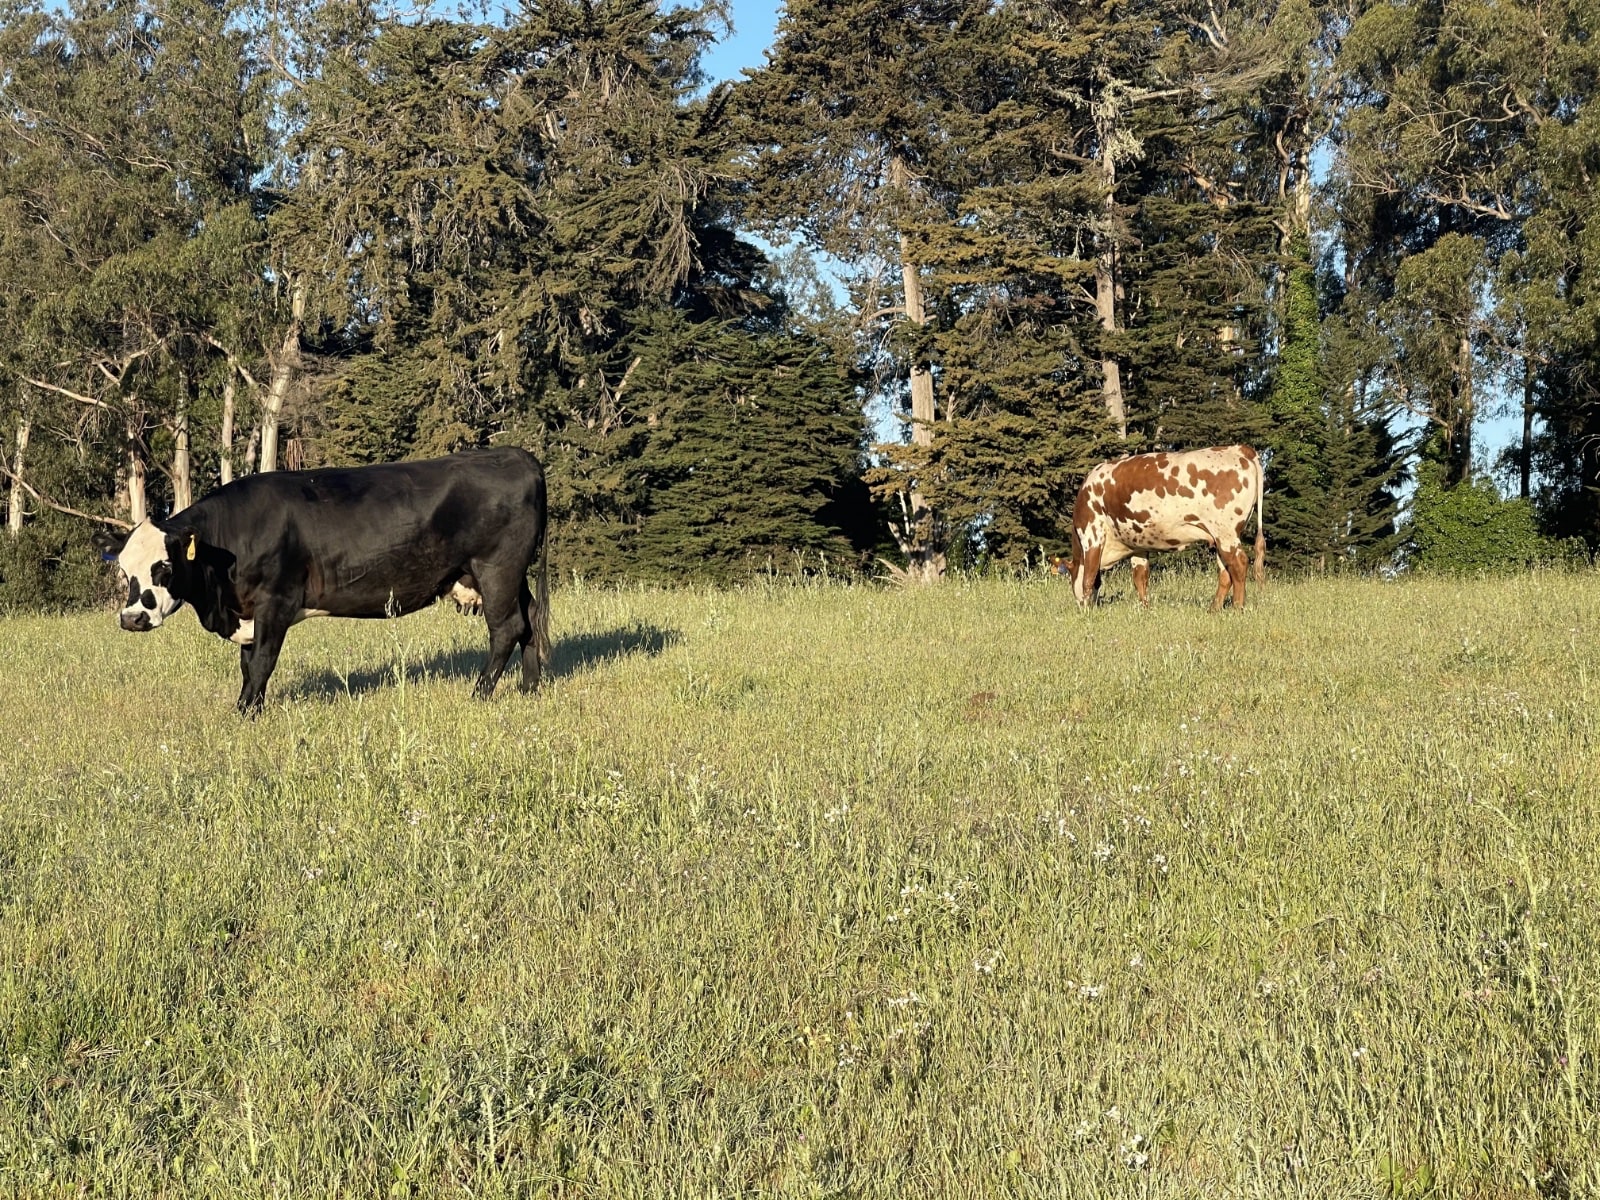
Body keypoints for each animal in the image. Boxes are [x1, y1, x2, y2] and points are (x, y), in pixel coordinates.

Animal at [98, 448, 556, 713]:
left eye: (165, 567)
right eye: (124, 572)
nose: (132, 618)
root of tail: (516, 454)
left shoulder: (275, 601)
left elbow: (262, 661)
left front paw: (245, 713)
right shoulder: (248, 609)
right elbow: (247, 663)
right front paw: (249, 705)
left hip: (497, 567)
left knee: (507, 627)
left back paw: (480, 693)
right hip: (508, 573)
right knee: (530, 620)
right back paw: (529, 688)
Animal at [1056, 444, 1267, 611]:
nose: (1080, 606)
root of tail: (1240, 449)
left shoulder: (1092, 536)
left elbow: (1088, 578)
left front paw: (1087, 611)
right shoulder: (1138, 546)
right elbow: (1140, 579)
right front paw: (1145, 608)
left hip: (1225, 532)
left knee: (1239, 564)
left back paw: (1237, 608)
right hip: (1220, 537)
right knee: (1225, 573)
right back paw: (1214, 609)